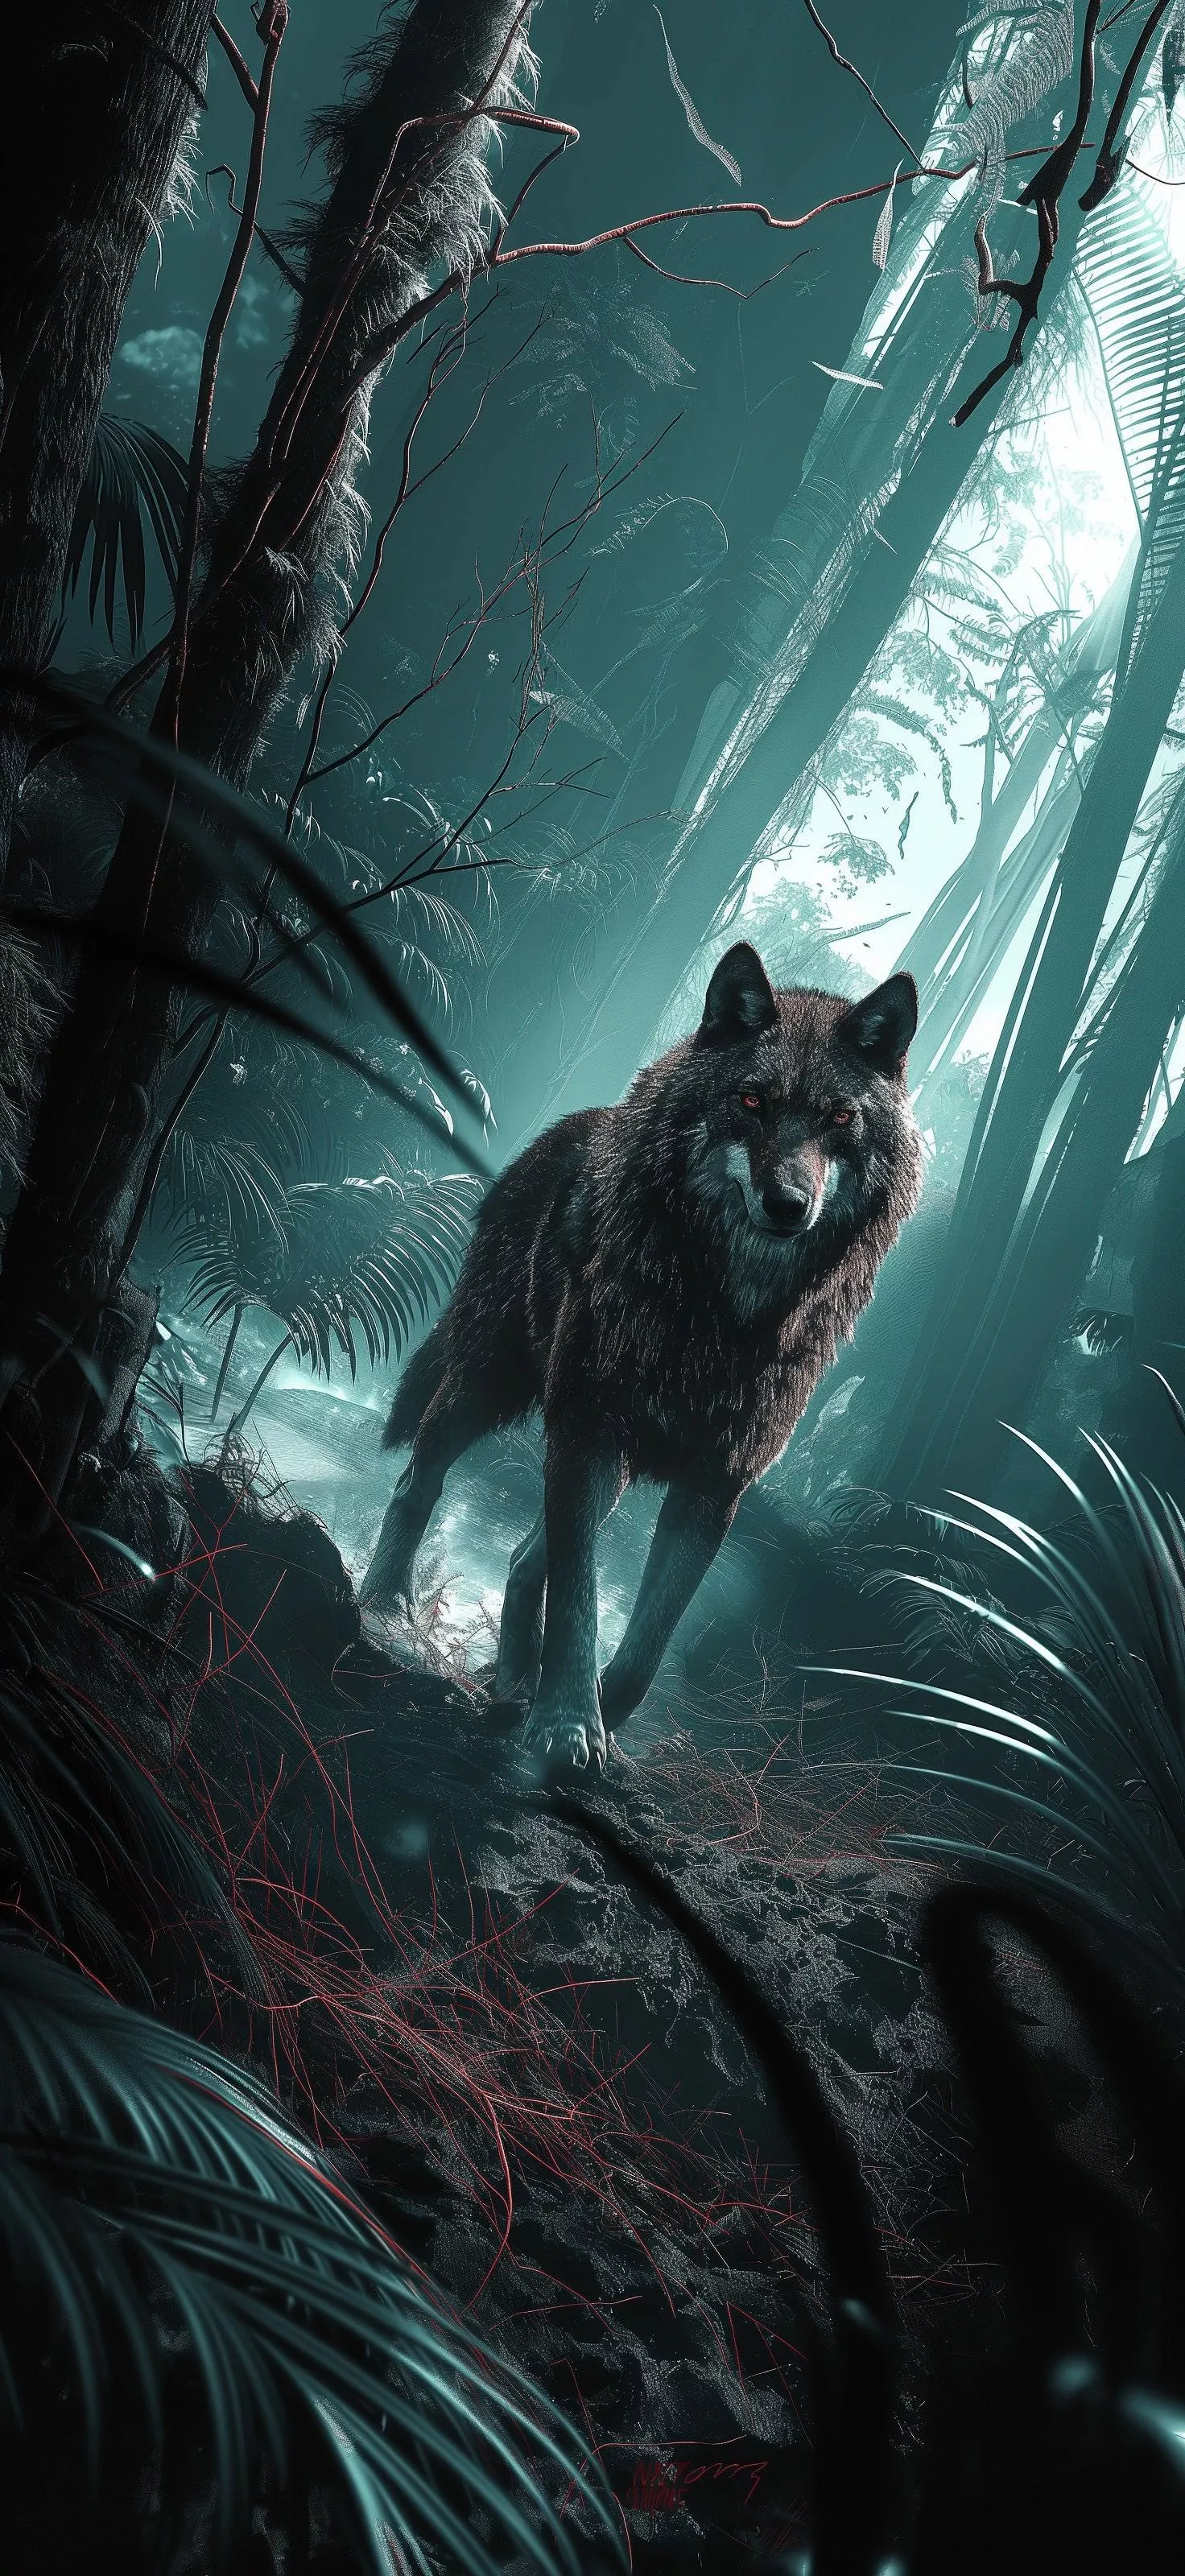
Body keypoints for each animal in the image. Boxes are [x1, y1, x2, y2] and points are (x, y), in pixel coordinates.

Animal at [360, 943, 922, 1769]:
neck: (725, 1315)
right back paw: (386, 1602)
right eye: (752, 1101)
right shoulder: (587, 1433)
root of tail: (565, 1128)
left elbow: (647, 1642)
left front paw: (598, 1718)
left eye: (841, 1118)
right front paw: (567, 1726)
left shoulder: (715, 1488)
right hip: (492, 1387)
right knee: (418, 1482)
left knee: (525, 1561)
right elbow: (582, 1602)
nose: (789, 1206)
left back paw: (511, 1681)